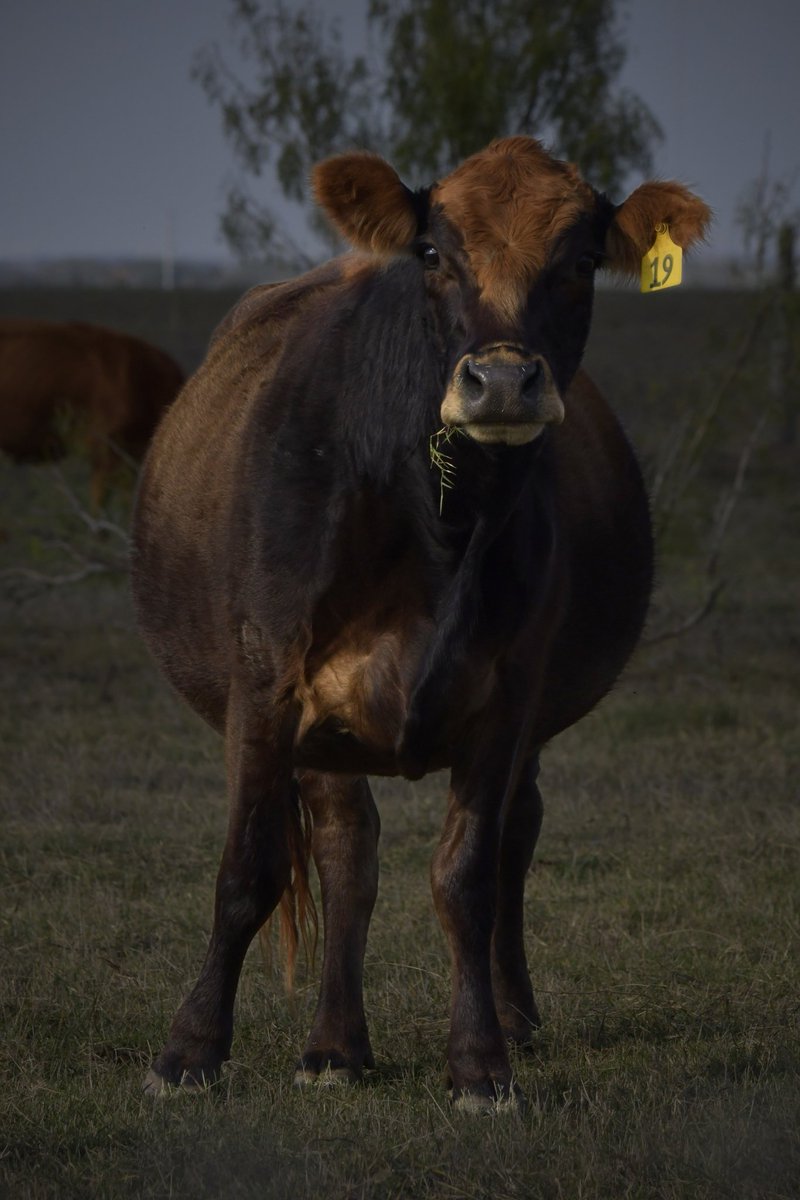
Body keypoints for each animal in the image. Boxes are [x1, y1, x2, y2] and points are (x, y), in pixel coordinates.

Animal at [131, 136, 710, 1110]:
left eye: (582, 262)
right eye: (434, 253)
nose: (503, 381)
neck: (431, 519)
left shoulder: (508, 698)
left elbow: (466, 875)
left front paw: (480, 1062)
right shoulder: (266, 683)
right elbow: (249, 867)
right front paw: (189, 1050)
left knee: (510, 837)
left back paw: (506, 1017)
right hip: (318, 736)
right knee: (346, 850)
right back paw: (333, 1044)